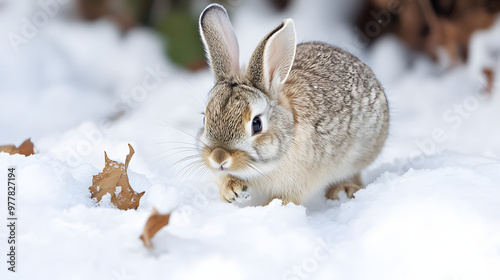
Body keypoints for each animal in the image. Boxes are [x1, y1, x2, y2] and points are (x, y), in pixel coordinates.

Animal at [196, 3, 390, 206]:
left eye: (256, 124)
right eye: (204, 119)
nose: (219, 157)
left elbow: (286, 199)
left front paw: (268, 207)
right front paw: (232, 191)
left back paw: (344, 190)